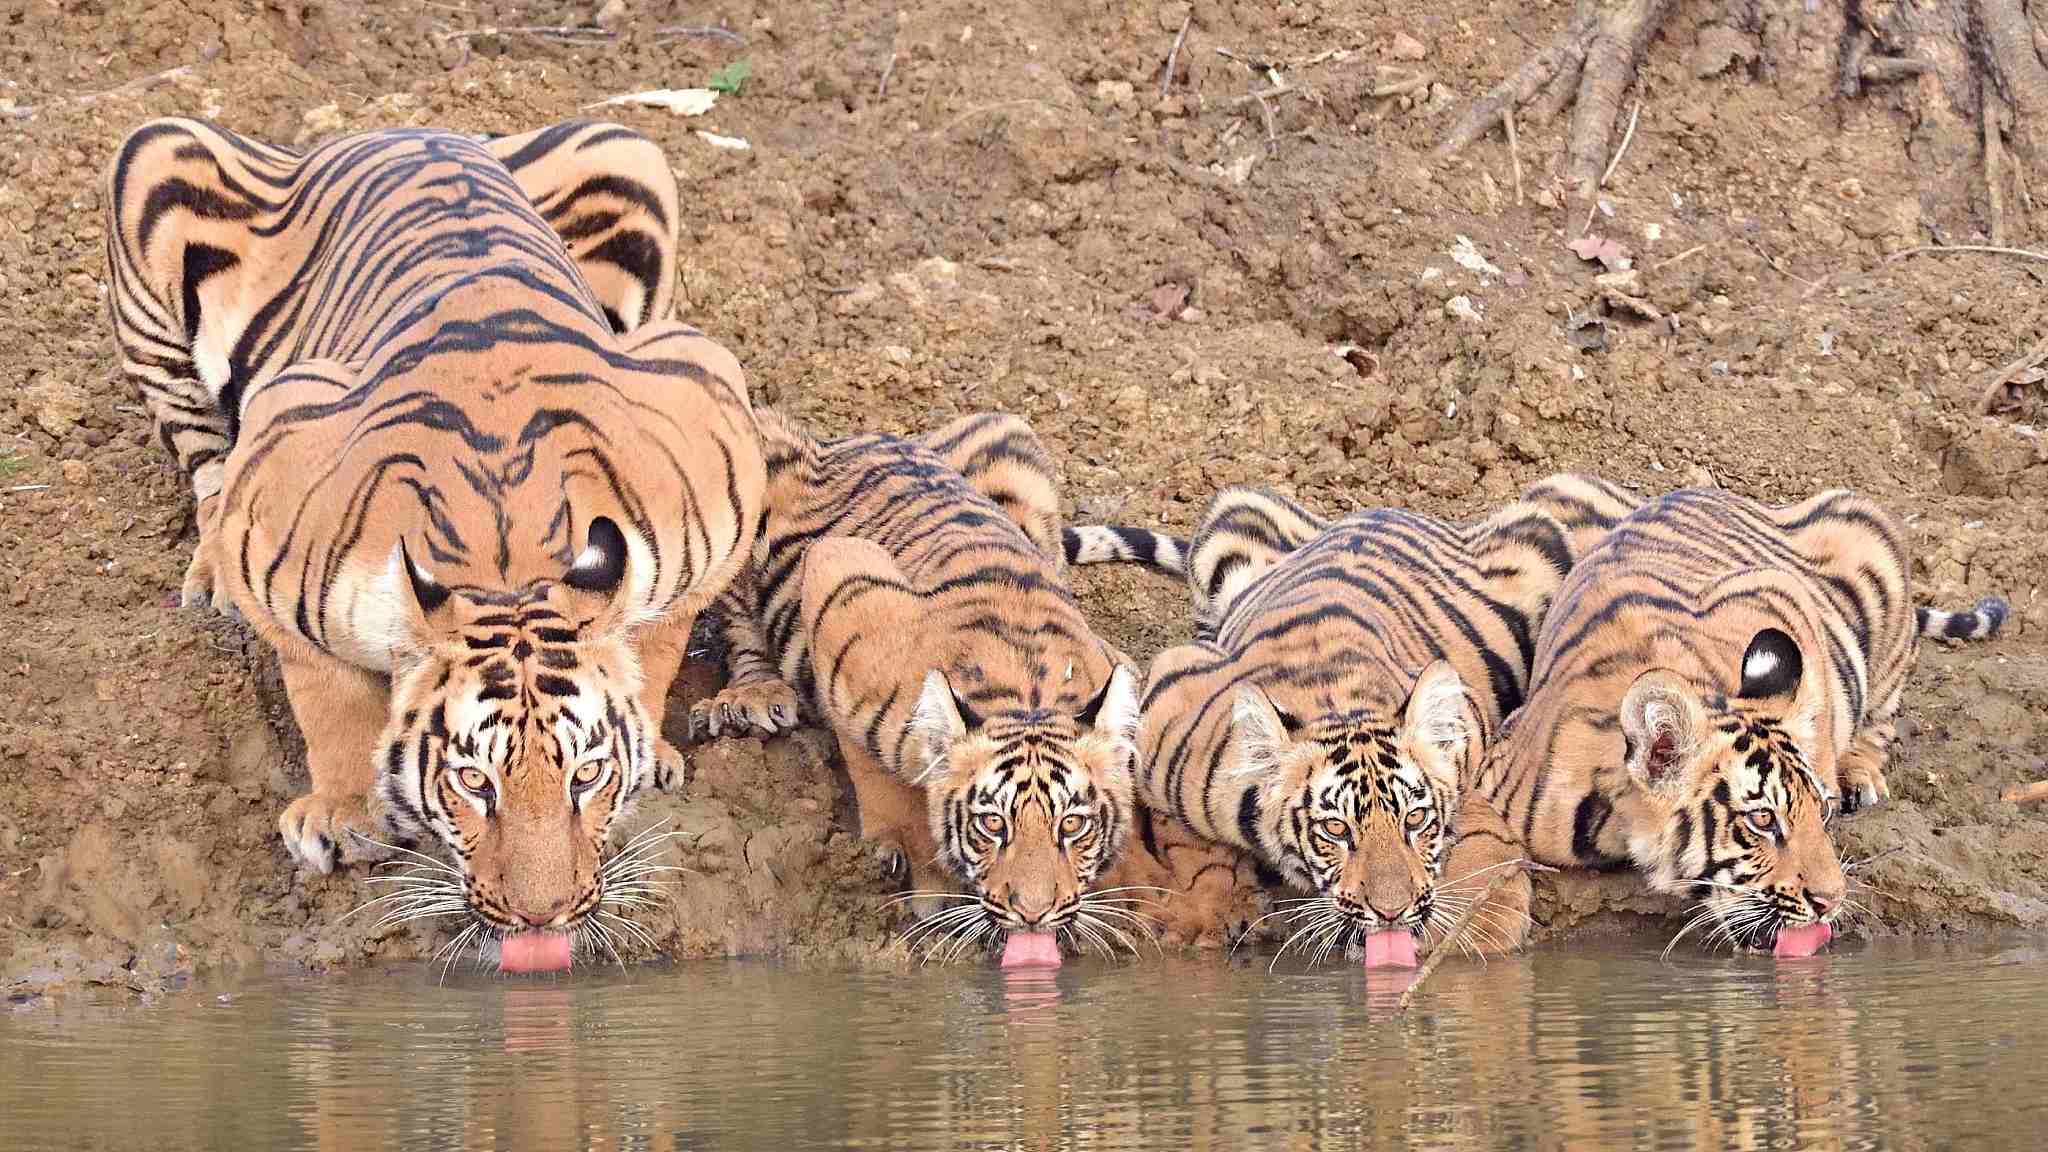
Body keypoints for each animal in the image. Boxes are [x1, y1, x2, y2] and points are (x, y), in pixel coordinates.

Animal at [103, 118, 765, 959]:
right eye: (473, 782)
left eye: (585, 775)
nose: (542, 916)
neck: (508, 559)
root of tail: (406, 129)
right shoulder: (278, 459)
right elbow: (326, 690)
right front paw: (343, 812)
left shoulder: (709, 428)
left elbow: (656, 643)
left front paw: (649, 750)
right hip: (154, 154)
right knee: (202, 455)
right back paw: (210, 577)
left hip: (627, 152)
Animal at [692, 407, 1146, 963]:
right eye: (993, 824)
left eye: (1073, 825)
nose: (1034, 913)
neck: (1027, 694)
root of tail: (848, 437)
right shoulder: (841, 584)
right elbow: (877, 770)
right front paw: (913, 865)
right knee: (740, 624)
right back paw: (753, 697)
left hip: (1012, 441)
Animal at [1064, 483, 1572, 959]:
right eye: (1336, 830)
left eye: (1415, 819)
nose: (1392, 913)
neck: (1337, 701)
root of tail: (1382, 510)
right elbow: (1185, 838)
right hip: (1231, 516)